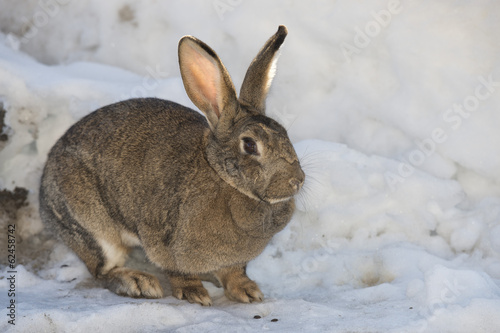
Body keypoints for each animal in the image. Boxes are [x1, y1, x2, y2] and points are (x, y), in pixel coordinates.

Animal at [39, 25, 302, 306]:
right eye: (250, 145)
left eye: (285, 134)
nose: (297, 180)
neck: (222, 177)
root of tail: (43, 191)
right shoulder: (163, 240)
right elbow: (178, 272)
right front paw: (194, 293)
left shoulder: (234, 260)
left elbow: (234, 272)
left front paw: (248, 292)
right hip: (92, 226)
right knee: (103, 270)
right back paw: (140, 282)